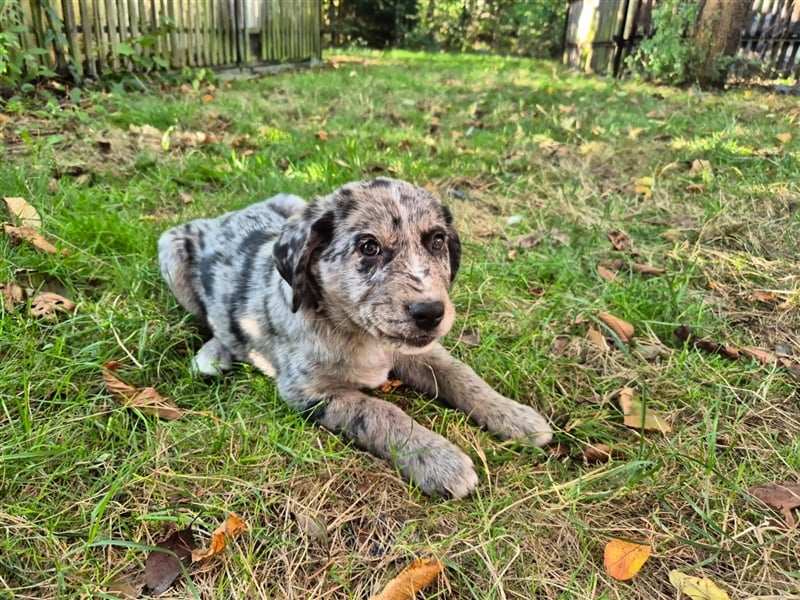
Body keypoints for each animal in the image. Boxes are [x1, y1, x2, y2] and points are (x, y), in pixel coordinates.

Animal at [159, 178, 552, 496]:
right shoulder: (308, 391)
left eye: (437, 240)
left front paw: (515, 416)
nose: (430, 312)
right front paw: (439, 460)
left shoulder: (418, 350)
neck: (363, 337)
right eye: (369, 247)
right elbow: (380, 412)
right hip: (170, 252)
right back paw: (214, 353)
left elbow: (461, 375)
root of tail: (227, 215)